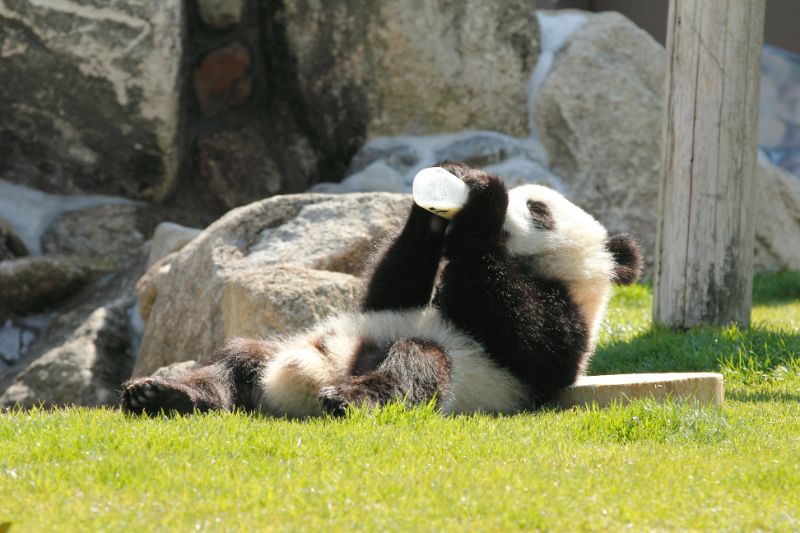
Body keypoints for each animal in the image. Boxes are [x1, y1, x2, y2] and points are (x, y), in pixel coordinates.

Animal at [120, 161, 644, 416]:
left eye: (537, 208)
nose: (510, 205)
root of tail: (299, 386)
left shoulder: (564, 327)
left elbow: (529, 334)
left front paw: (482, 202)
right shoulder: (400, 296)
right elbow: (389, 291)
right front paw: (443, 196)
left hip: (458, 377)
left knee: (418, 362)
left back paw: (349, 400)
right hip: (284, 350)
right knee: (235, 358)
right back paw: (164, 395)